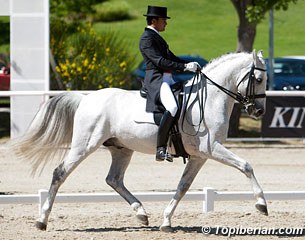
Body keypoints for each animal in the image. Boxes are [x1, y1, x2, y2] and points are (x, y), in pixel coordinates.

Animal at [11, 50, 268, 232]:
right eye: (258, 78)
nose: (258, 111)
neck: (210, 99)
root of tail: (86, 98)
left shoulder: (199, 156)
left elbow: (183, 186)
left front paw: (166, 221)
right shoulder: (212, 148)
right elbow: (246, 166)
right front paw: (261, 204)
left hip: (121, 149)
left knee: (114, 179)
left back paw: (141, 213)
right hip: (85, 145)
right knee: (60, 173)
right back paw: (42, 220)